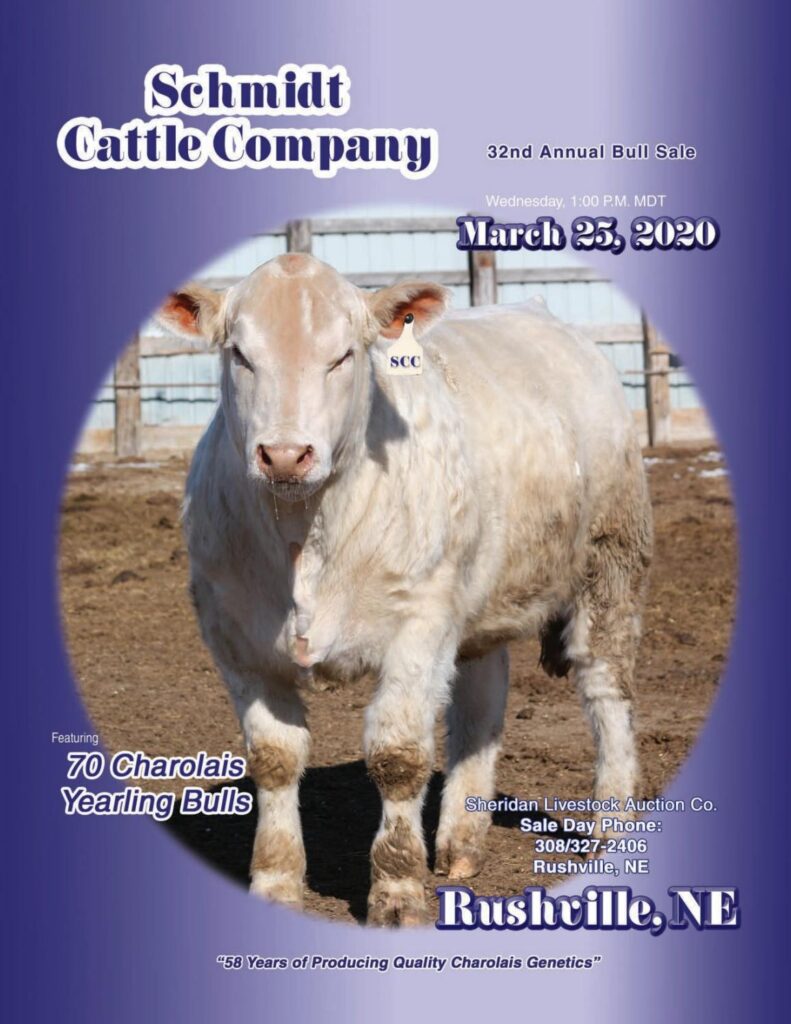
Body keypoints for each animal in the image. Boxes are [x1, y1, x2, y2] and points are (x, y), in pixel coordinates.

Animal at [158, 252, 653, 926]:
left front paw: (397, 891)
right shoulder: (235, 638)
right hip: (478, 598)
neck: (306, 532)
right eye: (240, 354)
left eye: (343, 355)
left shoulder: (419, 626)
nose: (284, 455)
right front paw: (276, 882)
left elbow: (399, 758)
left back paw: (612, 825)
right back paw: (461, 840)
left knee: (606, 691)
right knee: (480, 703)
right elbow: (275, 758)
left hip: (610, 562)